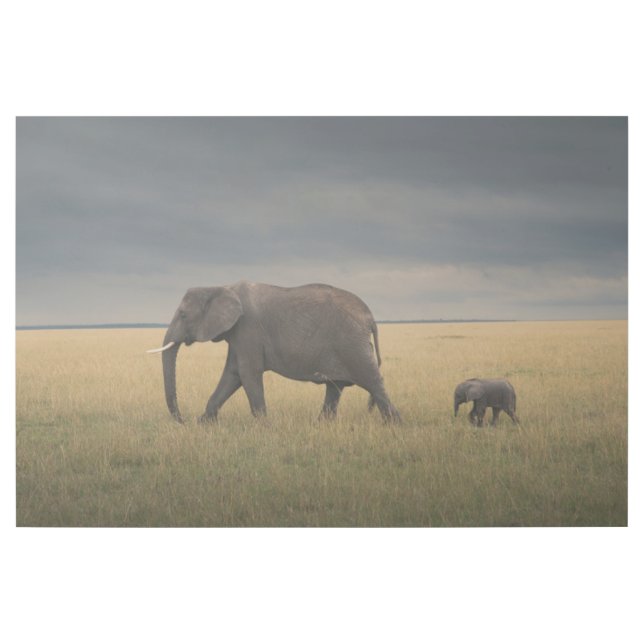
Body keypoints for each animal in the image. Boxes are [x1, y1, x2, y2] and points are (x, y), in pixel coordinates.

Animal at [147, 281, 401, 423]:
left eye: (182, 315)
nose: (183, 420)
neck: (220, 287)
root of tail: (370, 317)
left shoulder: (247, 329)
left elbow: (247, 373)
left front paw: (263, 426)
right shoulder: (237, 334)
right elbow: (233, 374)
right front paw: (204, 423)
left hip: (352, 343)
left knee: (372, 381)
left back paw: (394, 424)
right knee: (335, 387)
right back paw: (321, 424)